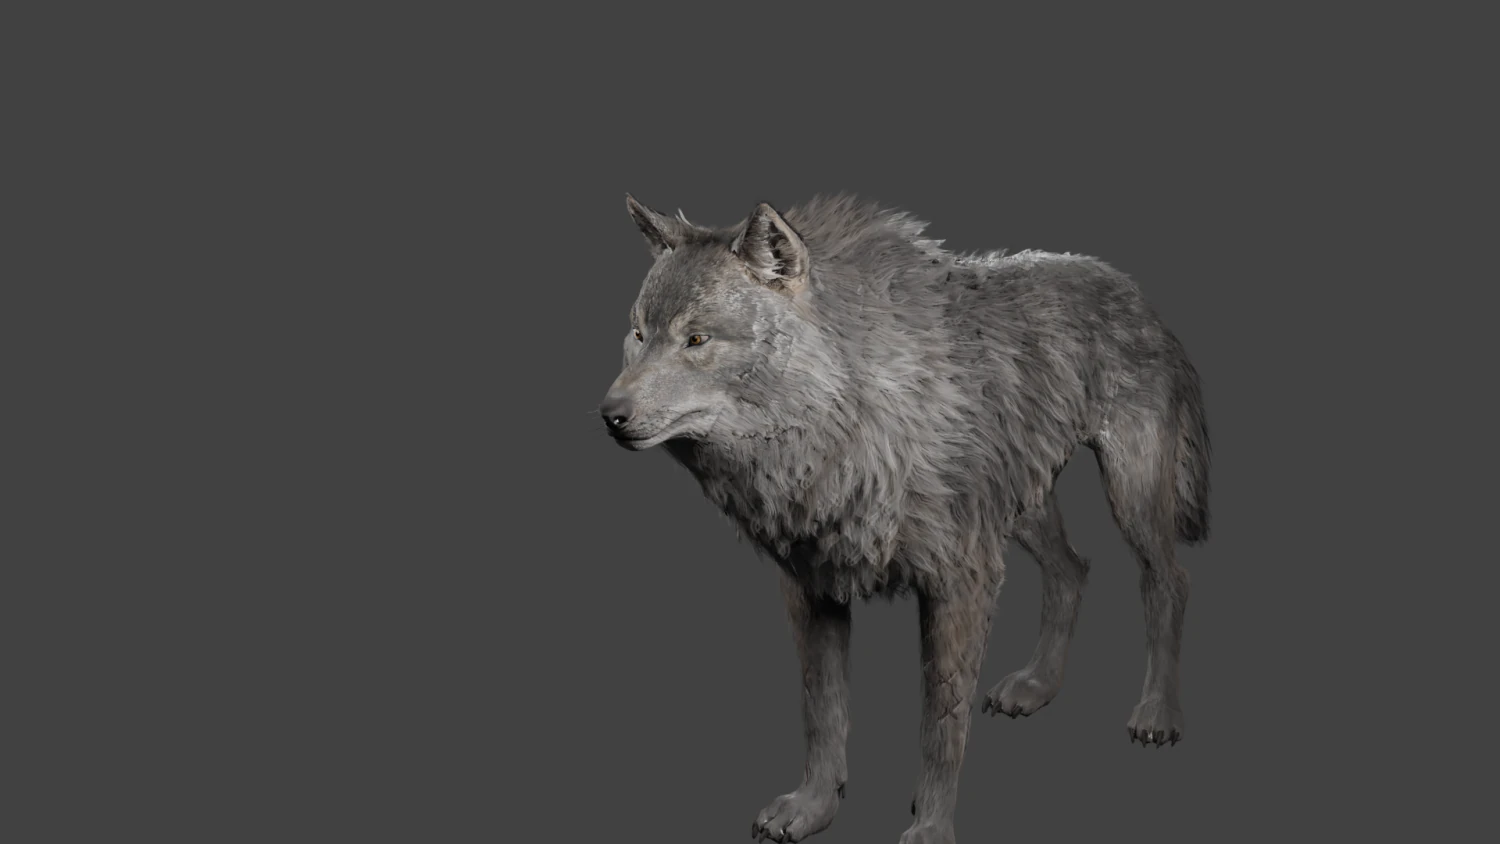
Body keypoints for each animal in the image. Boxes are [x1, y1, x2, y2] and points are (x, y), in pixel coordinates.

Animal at [599, 193, 1211, 844]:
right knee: (1074, 568)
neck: (842, 429)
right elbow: (822, 710)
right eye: (638, 333)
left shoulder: (960, 580)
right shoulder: (812, 587)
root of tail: (1130, 288)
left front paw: (930, 827)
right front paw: (812, 807)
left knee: (1168, 580)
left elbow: (942, 722)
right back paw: (1037, 686)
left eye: (696, 338)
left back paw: (1157, 713)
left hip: (1128, 491)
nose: (610, 413)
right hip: (1020, 505)